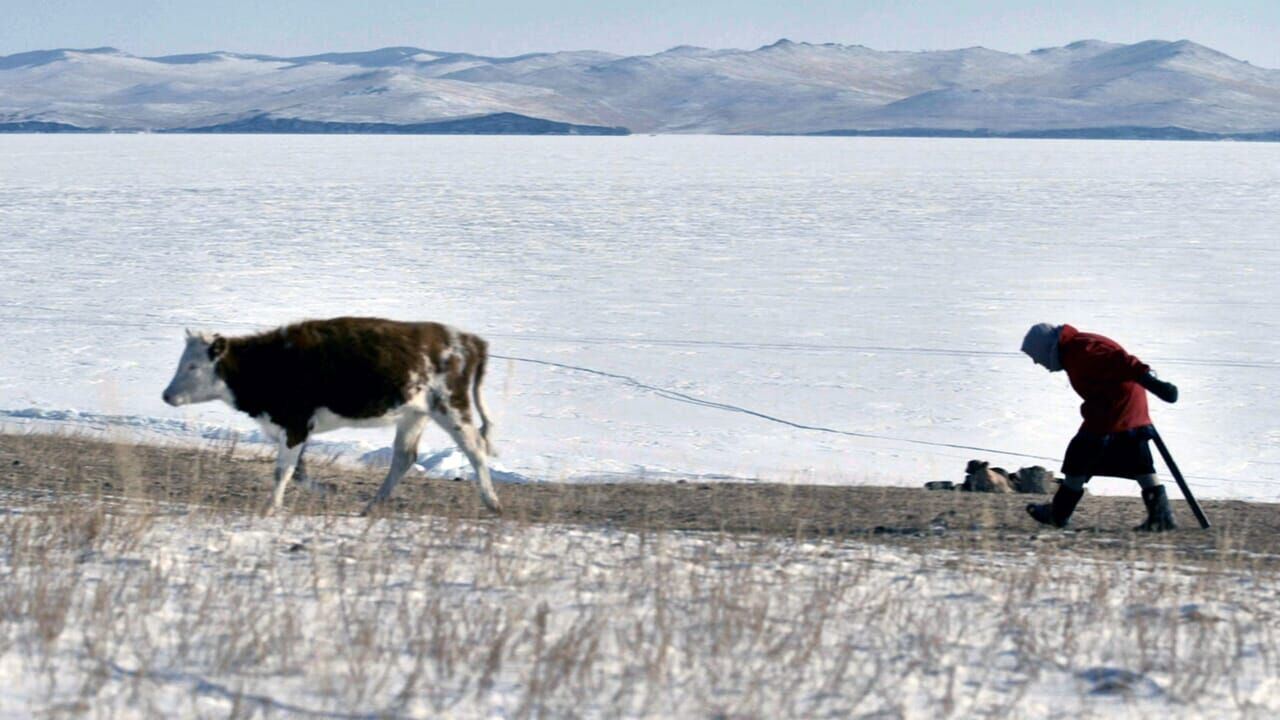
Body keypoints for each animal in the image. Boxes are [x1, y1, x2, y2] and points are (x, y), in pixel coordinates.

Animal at [161, 316, 499, 512]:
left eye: (193, 365)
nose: (166, 395)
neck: (269, 361)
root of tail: (467, 340)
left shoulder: (295, 424)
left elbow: (283, 470)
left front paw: (271, 506)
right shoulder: (293, 428)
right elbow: (297, 470)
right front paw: (326, 490)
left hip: (451, 408)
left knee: (475, 449)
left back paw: (493, 503)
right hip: (414, 415)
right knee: (404, 457)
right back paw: (372, 506)